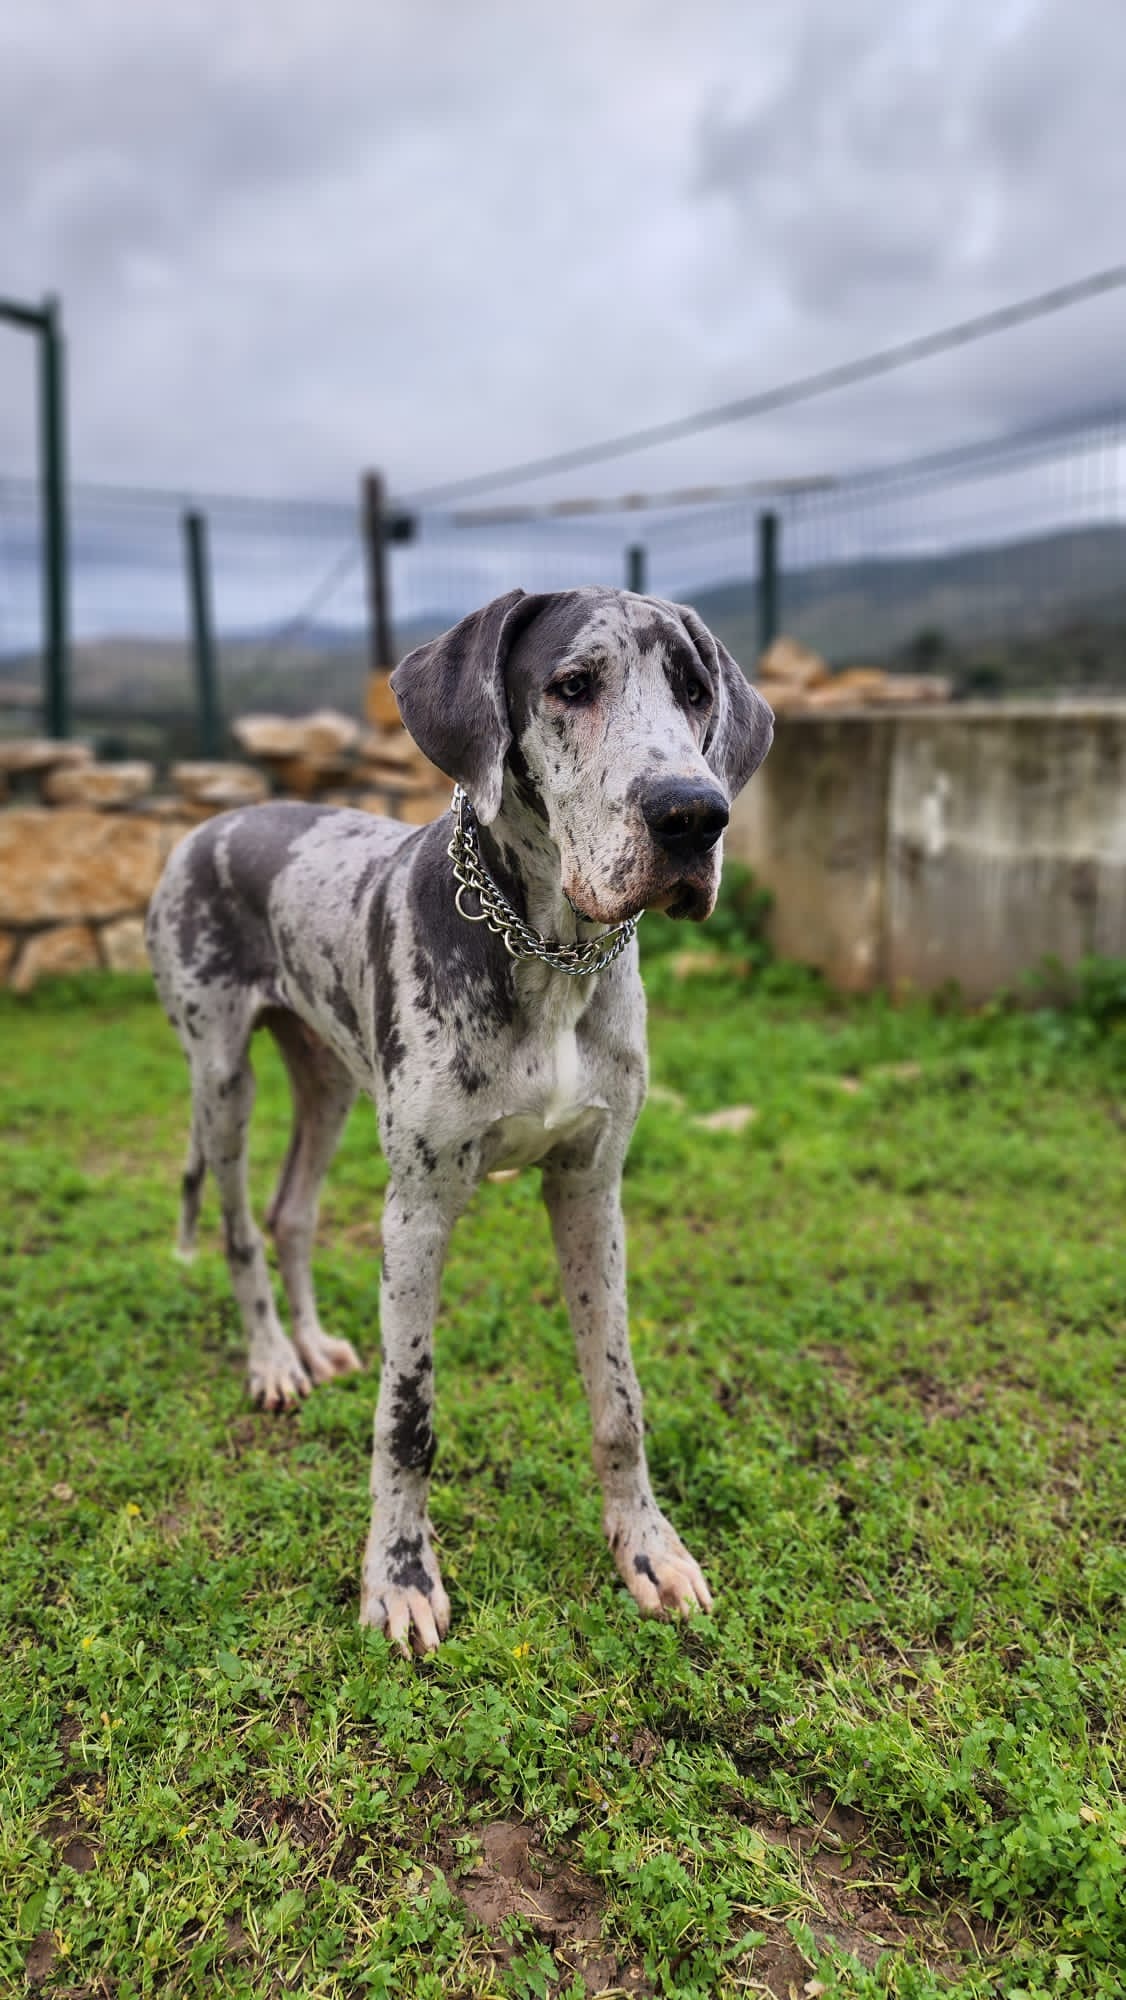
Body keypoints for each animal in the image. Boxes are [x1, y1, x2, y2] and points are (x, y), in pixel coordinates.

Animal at [148, 584, 776, 1648]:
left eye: (695, 690)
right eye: (572, 685)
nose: (694, 815)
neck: (549, 953)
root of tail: (211, 823)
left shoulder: (592, 1191)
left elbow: (619, 1398)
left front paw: (646, 1550)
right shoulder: (419, 1211)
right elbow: (408, 1417)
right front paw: (398, 1578)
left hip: (328, 1080)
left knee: (290, 1211)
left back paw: (313, 1345)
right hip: (220, 1076)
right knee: (238, 1225)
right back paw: (273, 1360)